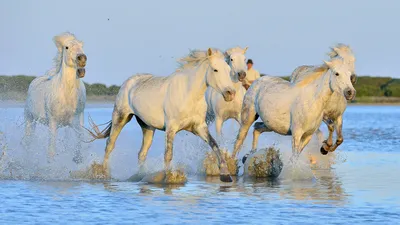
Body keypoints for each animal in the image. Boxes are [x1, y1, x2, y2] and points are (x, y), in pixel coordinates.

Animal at [24, 32, 87, 162]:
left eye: (81, 45)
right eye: (67, 47)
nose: (82, 60)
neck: (66, 95)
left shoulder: (76, 121)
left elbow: (80, 141)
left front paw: (77, 159)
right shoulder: (53, 122)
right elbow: (51, 151)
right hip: (29, 118)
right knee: (28, 141)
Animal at [86, 48, 236, 182]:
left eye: (228, 70)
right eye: (215, 70)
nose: (230, 93)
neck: (189, 96)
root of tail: (128, 82)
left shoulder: (199, 127)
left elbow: (215, 145)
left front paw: (225, 175)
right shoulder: (171, 128)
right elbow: (168, 154)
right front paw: (169, 178)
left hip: (147, 127)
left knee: (142, 153)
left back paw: (140, 176)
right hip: (120, 117)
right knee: (109, 145)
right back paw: (103, 174)